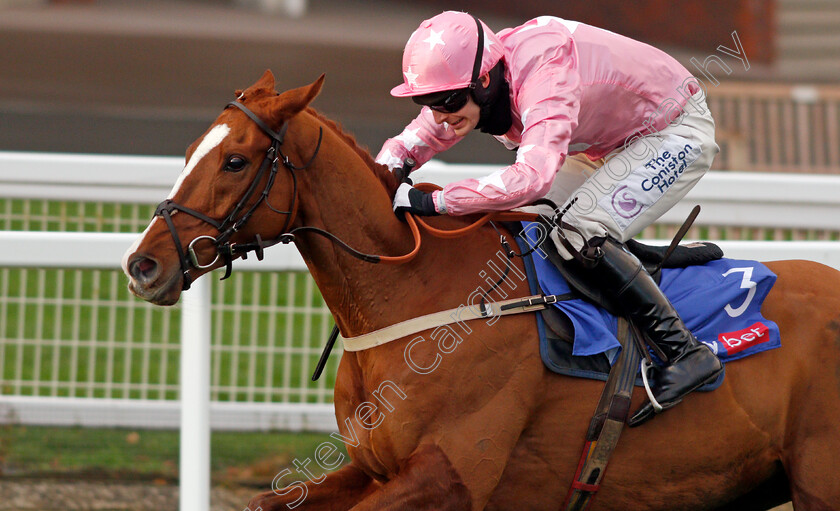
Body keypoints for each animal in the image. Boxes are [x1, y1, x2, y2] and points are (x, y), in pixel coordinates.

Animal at [121, 73, 840, 511]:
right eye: (191, 150)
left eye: (235, 160)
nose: (143, 265)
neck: (412, 296)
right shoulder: (374, 467)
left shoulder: (448, 477)